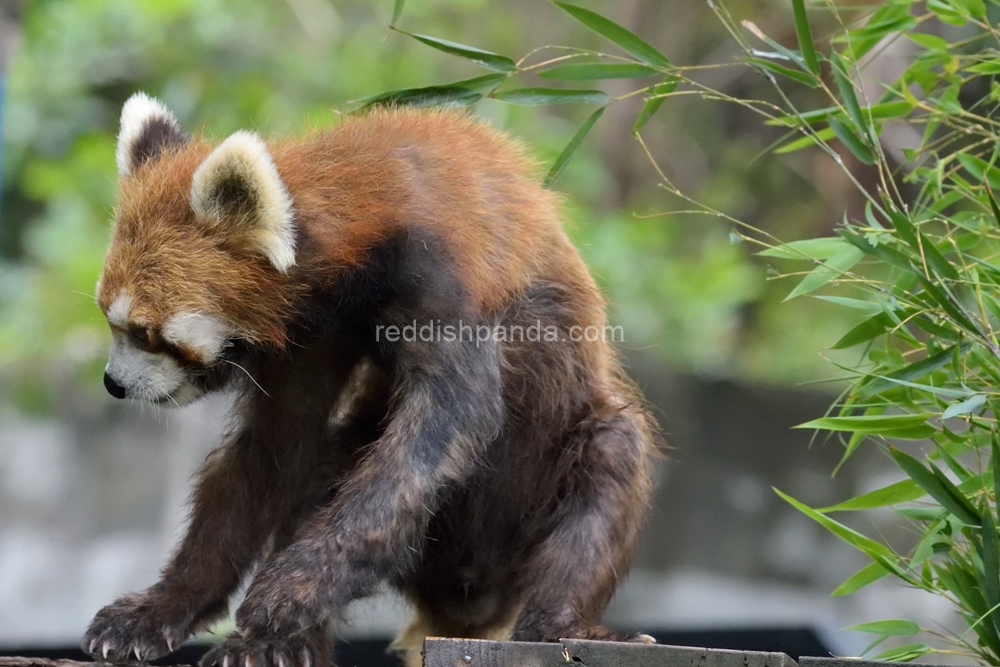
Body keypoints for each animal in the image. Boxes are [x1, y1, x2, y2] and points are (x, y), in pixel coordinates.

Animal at [84, 91, 656, 667]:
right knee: (324, 470)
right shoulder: (312, 336)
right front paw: (162, 606)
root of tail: (469, 603)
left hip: (561, 459)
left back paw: (565, 627)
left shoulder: (438, 269)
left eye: (144, 331)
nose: (113, 384)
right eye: (110, 320)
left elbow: (445, 427)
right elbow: (270, 451)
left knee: (607, 471)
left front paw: (291, 589)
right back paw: (276, 647)